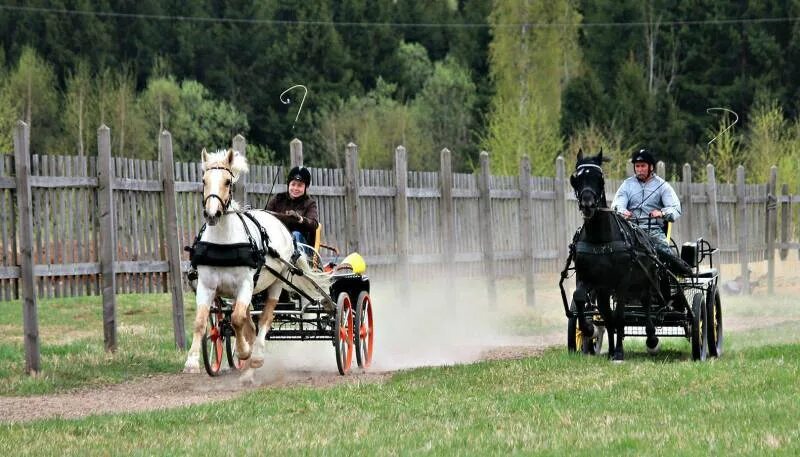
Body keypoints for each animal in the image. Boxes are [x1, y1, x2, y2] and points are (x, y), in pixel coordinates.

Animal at [186, 147, 332, 378]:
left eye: (228, 181)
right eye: (203, 180)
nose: (212, 214)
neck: (224, 242)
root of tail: (279, 220)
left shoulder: (245, 283)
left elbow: (238, 319)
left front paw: (245, 352)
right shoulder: (207, 285)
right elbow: (202, 321)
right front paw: (192, 361)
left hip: (276, 283)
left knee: (265, 318)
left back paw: (256, 355)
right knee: (247, 320)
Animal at [564, 151, 664, 362]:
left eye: (600, 178)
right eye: (575, 179)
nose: (587, 204)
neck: (600, 240)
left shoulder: (622, 282)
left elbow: (619, 316)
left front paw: (618, 351)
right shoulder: (588, 278)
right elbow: (582, 300)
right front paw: (589, 329)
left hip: (646, 281)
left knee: (646, 305)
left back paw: (651, 339)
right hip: (604, 290)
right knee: (607, 314)